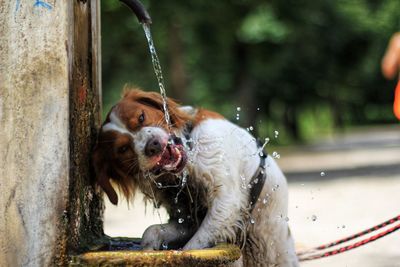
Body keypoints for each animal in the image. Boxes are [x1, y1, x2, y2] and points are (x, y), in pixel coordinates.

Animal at [92, 89, 298, 266]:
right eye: (123, 149)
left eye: (141, 117)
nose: (153, 145)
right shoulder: (187, 217)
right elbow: (152, 231)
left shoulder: (226, 202)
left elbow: (193, 247)